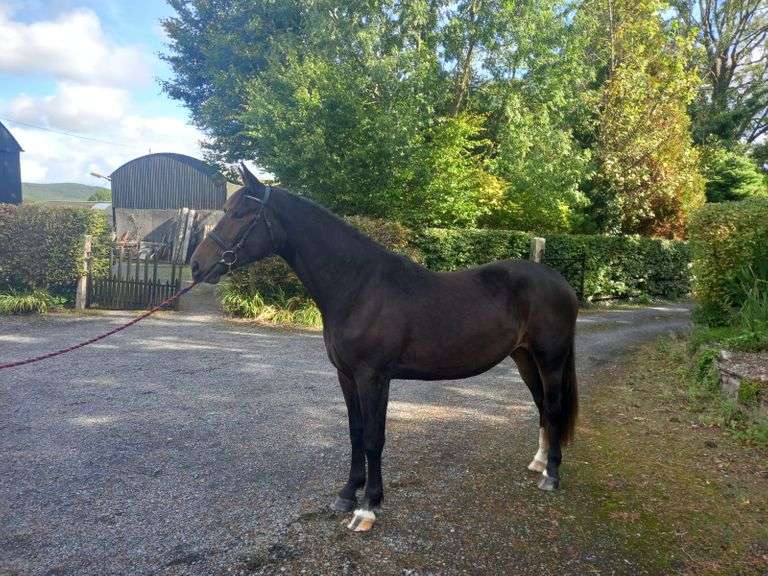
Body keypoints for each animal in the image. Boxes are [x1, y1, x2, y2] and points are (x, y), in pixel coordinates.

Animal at [190, 165, 578, 532]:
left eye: (241, 213)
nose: (196, 265)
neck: (359, 287)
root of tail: (559, 281)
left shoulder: (373, 377)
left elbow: (374, 438)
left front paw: (368, 507)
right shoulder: (347, 377)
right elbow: (355, 433)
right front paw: (347, 494)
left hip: (550, 359)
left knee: (553, 407)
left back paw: (552, 476)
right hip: (524, 357)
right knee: (541, 405)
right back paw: (539, 462)